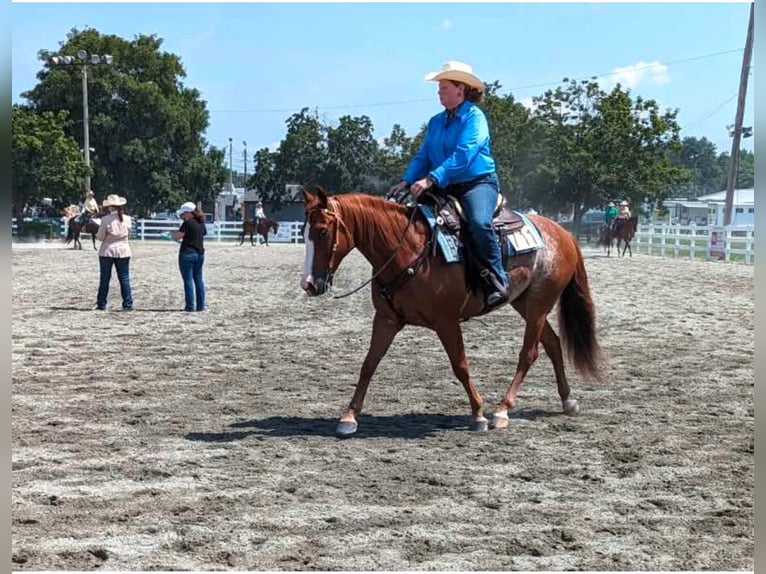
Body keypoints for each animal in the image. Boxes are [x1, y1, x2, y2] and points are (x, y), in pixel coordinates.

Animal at [300, 186, 602, 437]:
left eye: (323, 231)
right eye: (303, 232)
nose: (309, 284)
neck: (408, 249)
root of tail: (563, 233)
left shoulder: (446, 322)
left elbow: (460, 366)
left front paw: (478, 414)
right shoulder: (386, 320)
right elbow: (368, 365)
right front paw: (349, 417)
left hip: (539, 304)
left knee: (529, 354)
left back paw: (502, 410)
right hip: (525, 304)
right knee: (553, 344)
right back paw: (567, 400)